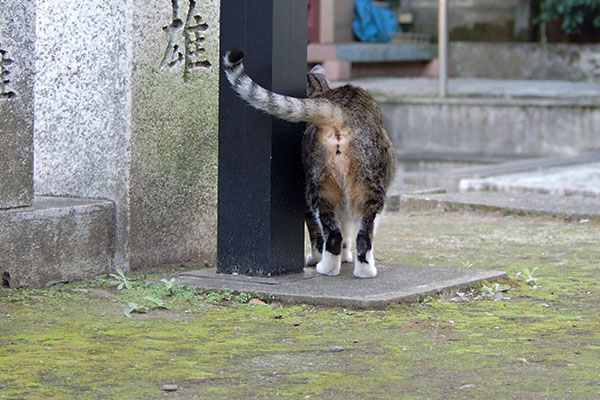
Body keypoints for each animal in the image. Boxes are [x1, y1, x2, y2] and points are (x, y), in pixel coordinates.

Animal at [223, 49, 396, 278]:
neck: (320, 91)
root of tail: (341, 110)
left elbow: (321, 233)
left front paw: (325, 258)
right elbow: (343, 231)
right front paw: (343, 257)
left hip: (327, 187)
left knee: (340, 235)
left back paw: (333, 268)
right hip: (344, 187)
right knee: (353, 235)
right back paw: (350, 270)